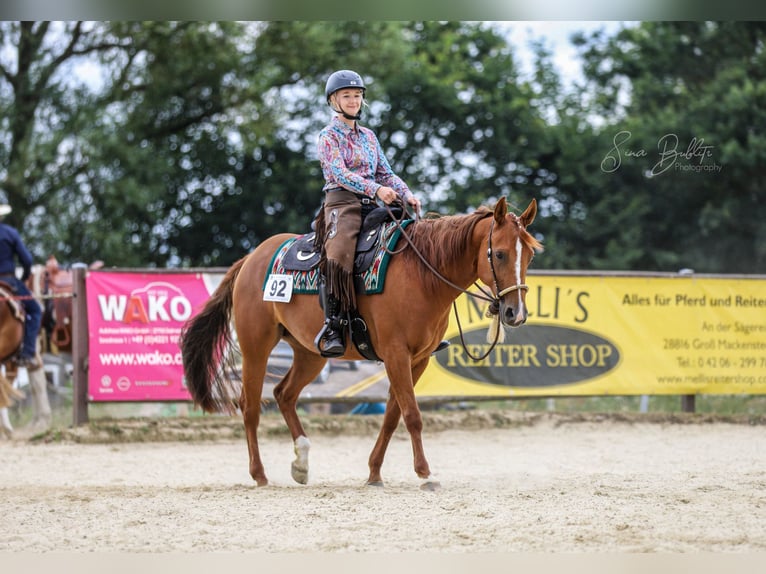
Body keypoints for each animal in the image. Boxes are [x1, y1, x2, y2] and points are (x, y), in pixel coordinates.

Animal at [180, 197, 542, 488]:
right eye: (500, 254)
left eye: (530, 256)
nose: (515, 313)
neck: (422, 274)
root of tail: (251, 258)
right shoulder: (396, 354)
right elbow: (412, 414)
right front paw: (426, 474)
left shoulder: (418, 359)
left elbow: (393, 415)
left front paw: (374, 474)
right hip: (256, 346)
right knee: (251, 405)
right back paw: (260, 475)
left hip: (310, 353)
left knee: (284, 394)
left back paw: (302, 464)